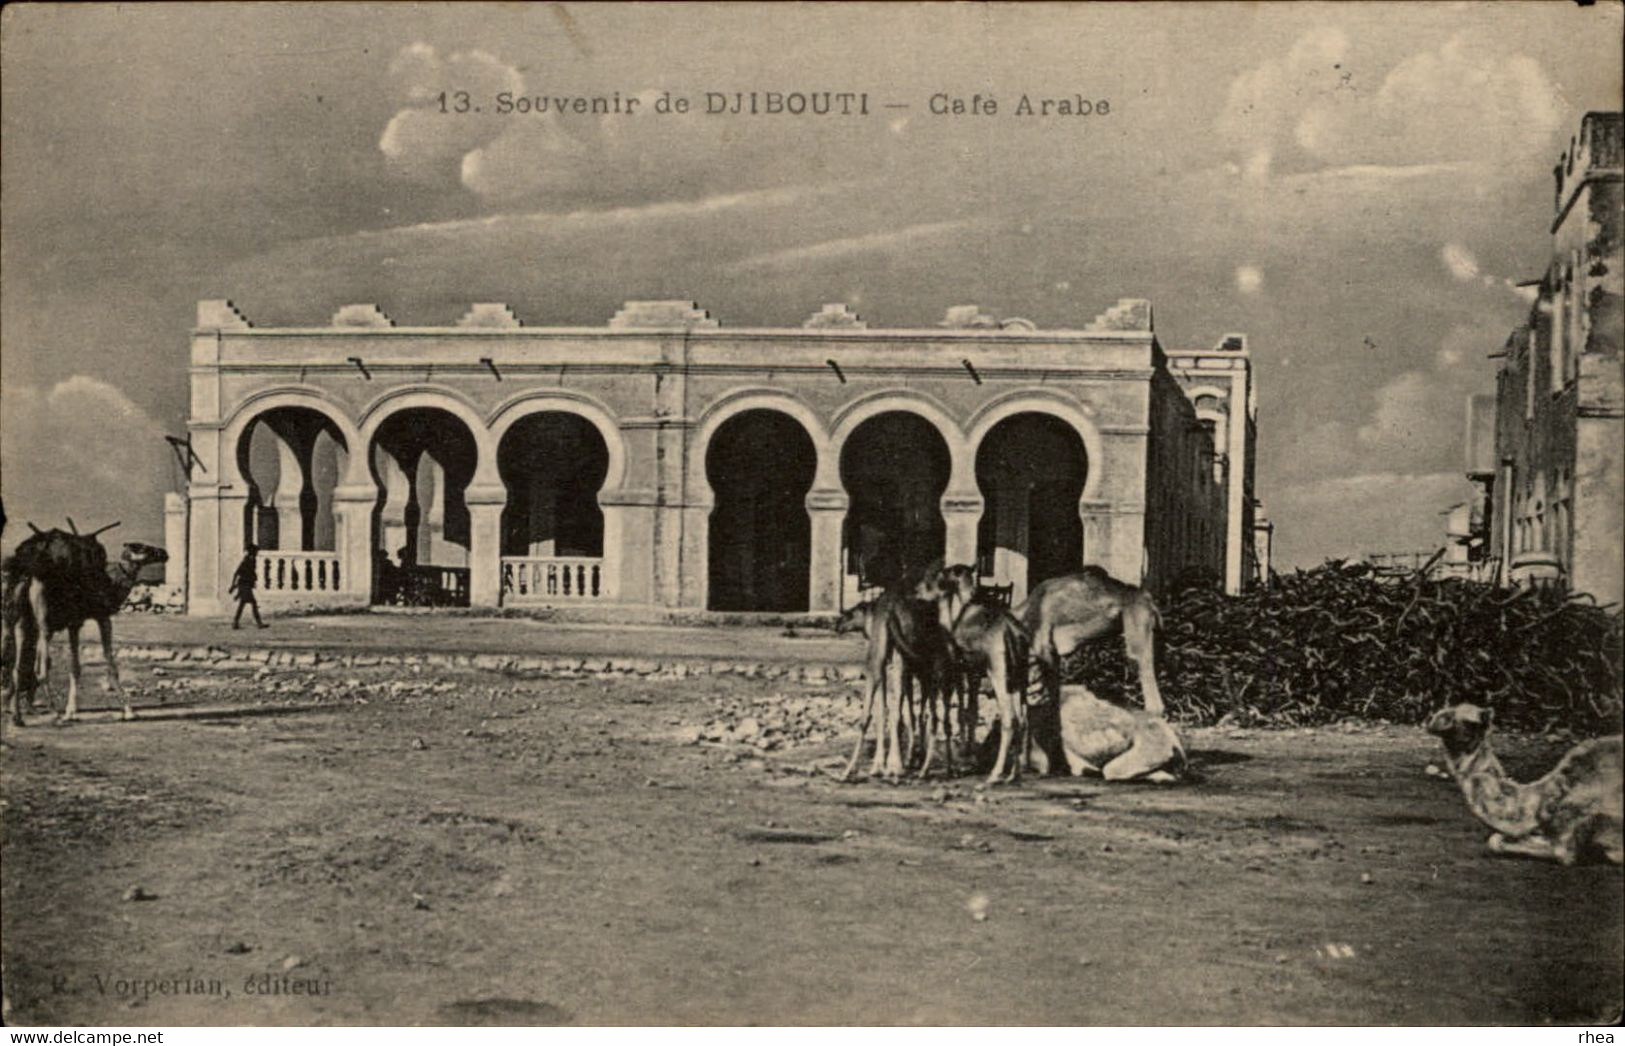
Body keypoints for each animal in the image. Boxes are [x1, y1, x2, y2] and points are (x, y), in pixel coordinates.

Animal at [1, 523, 166, 727]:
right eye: (140, 547)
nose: (164, 553)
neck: (111, 586)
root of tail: (28, 576)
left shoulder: (75, 623)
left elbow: (75, 667)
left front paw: (72, 711)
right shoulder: (103, 617)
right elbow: (110, 665)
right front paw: (129, 711)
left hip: (22, 622)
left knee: (17, 668)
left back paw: (18, 717)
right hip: (43, 624)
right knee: (41, 668)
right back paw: (55, 715)